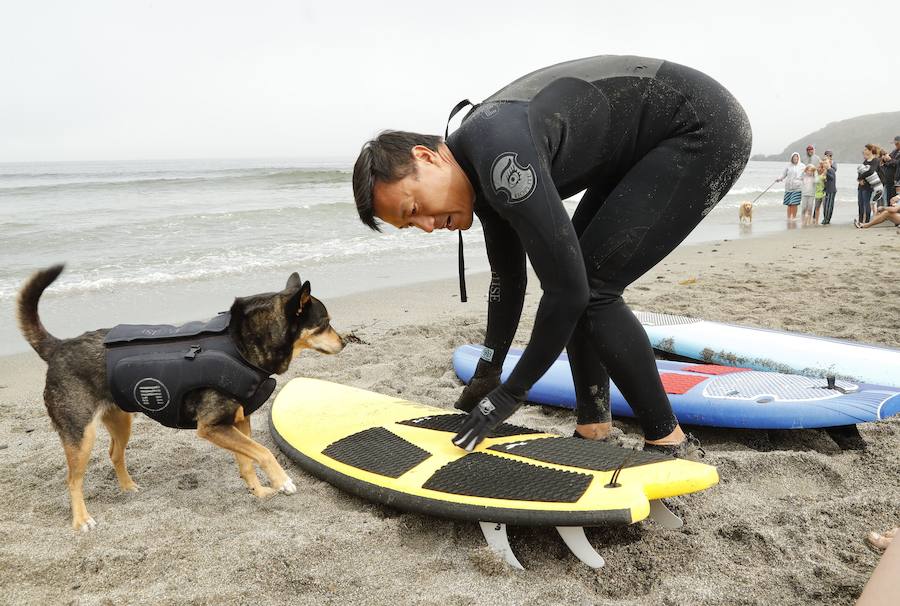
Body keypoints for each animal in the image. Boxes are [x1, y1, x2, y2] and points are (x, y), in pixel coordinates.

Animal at [18, 266, 342, 532]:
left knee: (114, 454)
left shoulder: (237, 422)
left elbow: (247, 461)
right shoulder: (212, 427)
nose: (345, 342)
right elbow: (262, 452)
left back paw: (127, 486)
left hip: (121, 421)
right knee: (73, 479)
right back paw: (81, 519)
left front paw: (260, 492)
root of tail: (59, 347)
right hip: (81, 434)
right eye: (325, 323)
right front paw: (281, 480)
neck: (239, 344)